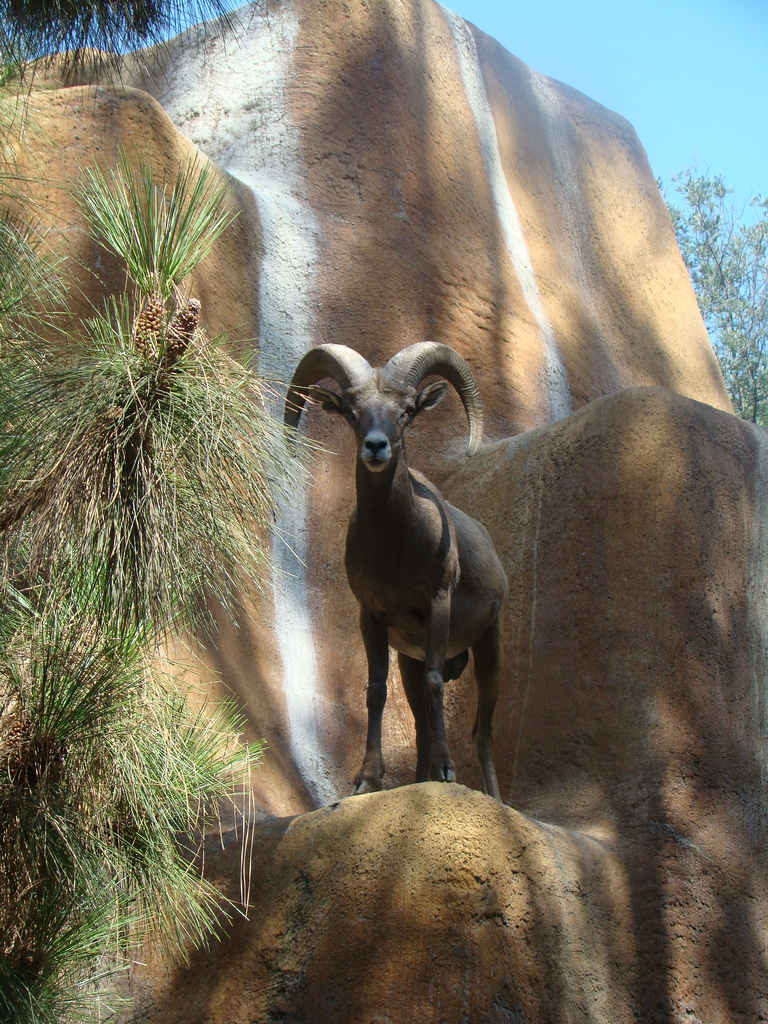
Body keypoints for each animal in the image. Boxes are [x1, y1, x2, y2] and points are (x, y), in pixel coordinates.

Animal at [284, 342, 508, 801]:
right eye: (352, 412)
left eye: (406, 411)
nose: (376, 447)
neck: (397, 550)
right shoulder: (372, 617)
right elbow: (374, 691)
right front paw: (368, 780)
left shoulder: (438, 604)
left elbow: (436, 682)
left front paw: (446, 770)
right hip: (409, 660)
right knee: (421, 725)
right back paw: (420, 782)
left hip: (490, 649)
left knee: (481, 732)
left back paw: (492, 799)